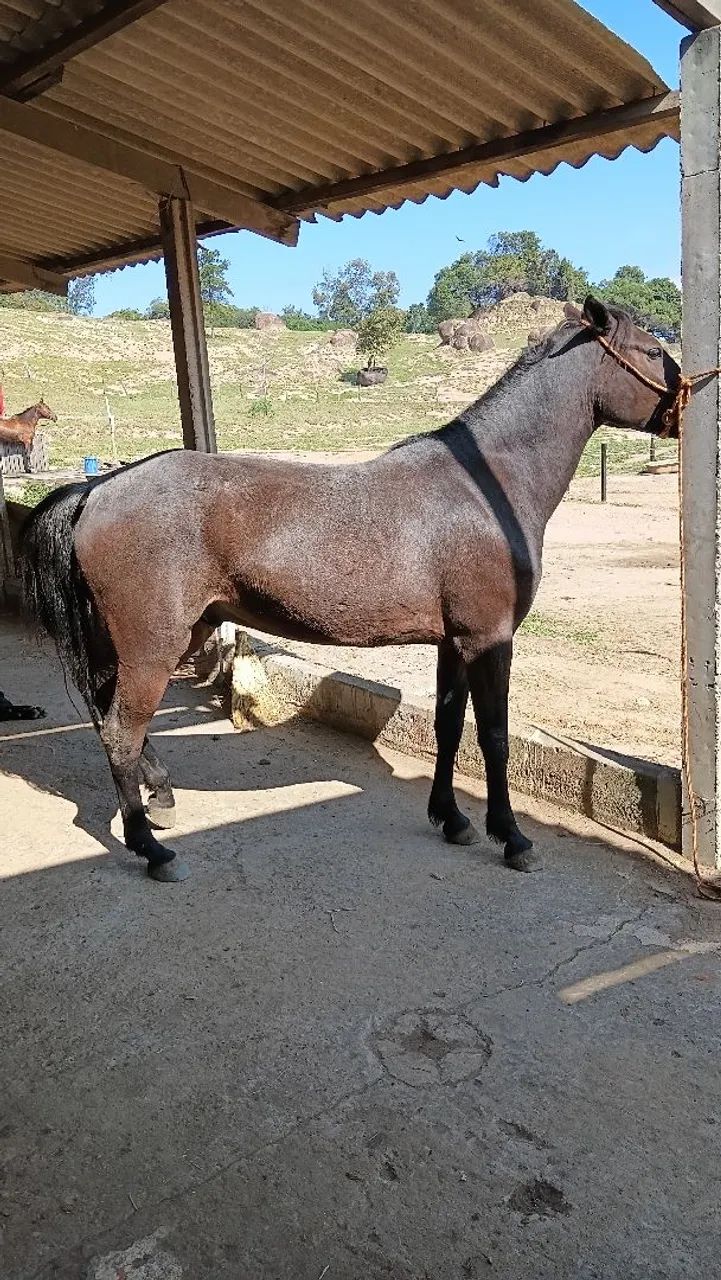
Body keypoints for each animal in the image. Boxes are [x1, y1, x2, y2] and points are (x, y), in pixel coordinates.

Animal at [20, 297, 680, 883]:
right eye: (651, 350)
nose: (683, 404)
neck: (484, 484)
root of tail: (100, 488)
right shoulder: (489, 639)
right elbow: (493, 738)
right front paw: (512, 837)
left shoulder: (453, 643)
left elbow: (448, 726)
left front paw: (452, 819)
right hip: (153, 645)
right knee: (120, 732)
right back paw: (150, 850)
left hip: (149, 641)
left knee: (118, 725)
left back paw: (160, 799)